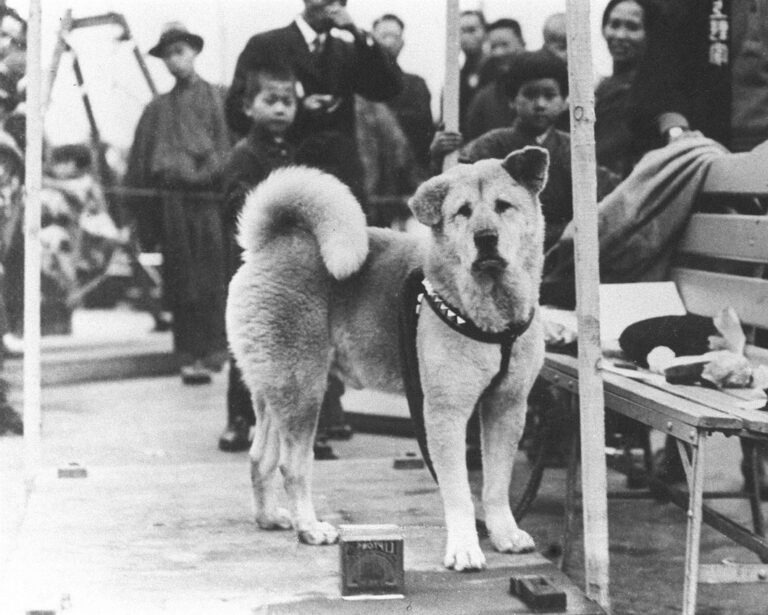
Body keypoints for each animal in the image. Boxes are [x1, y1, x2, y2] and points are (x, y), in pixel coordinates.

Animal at [225, 148, 548, 572]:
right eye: (462, 211)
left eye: (503, 206)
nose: (485, 238)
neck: (490, 315)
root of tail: (271, 244)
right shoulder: (444, 413)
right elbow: (459, 491)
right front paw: (465, 547)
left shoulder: (507, 407)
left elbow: (496, 484)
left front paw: (504, 534)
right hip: (303, 390)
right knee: (292, 466)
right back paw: (310, 528)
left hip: (273, 390)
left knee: (259, 457)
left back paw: (269, 517)